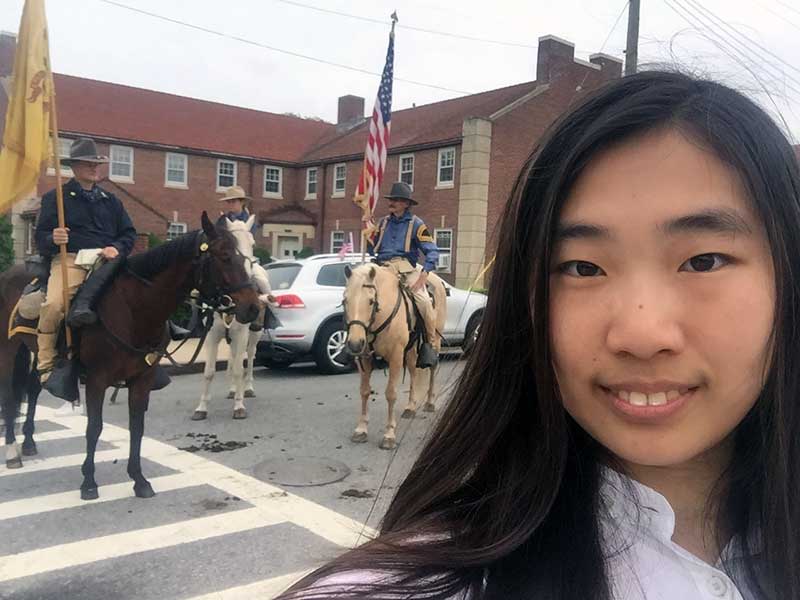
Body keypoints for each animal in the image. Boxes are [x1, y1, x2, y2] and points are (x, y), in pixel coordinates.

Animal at [0, 213, 256, 500]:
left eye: (248, 254)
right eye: (224, 256)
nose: (254, 307)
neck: (134, 310)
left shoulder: (142, 379)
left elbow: (137, 426)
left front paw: (138, 479)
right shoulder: (97, 380)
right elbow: (94, 428)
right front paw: (89, 482)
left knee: (33, 388)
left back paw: (29, 442)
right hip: (7, 348)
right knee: (9, 397)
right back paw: (12, 452)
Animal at [342, 262, 446, 450]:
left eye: (371, 301)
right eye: (345, 300)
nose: (354, 344)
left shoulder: (396, 357)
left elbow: (391, 393)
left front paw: (389, 435)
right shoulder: (365, 359)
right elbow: (364, 391)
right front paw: (361, 429)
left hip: (435, 339)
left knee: (433, 367)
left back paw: (429, 403)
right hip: (410, 349)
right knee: (413, 371)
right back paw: (410, 407)